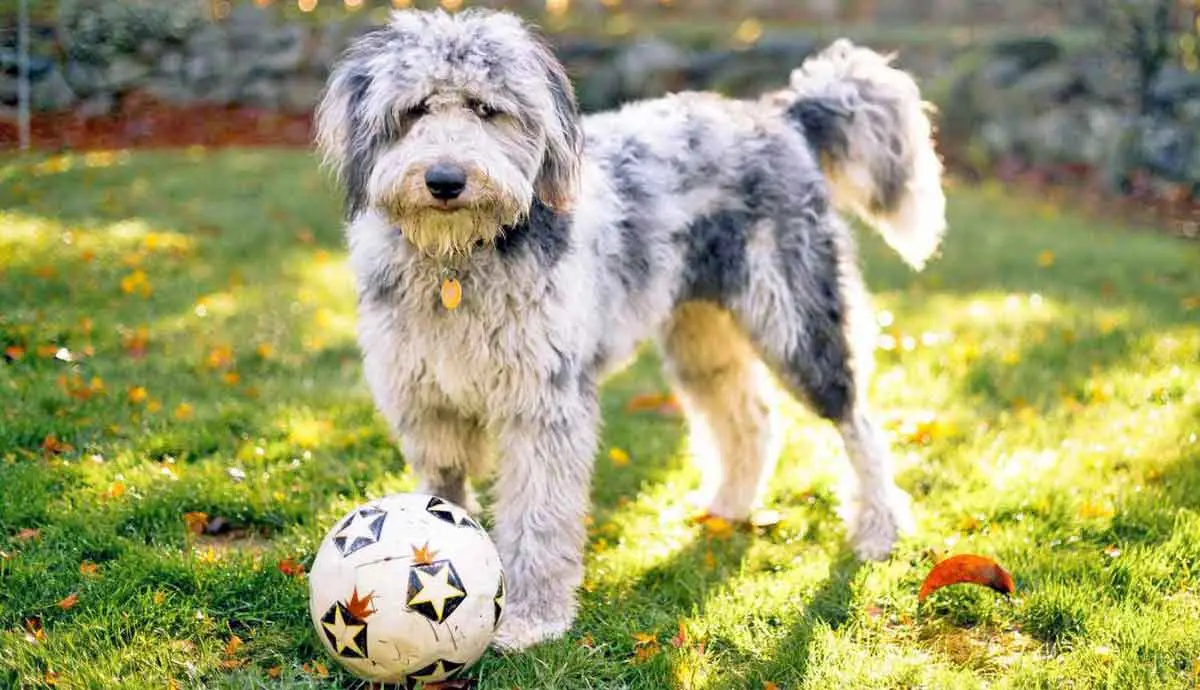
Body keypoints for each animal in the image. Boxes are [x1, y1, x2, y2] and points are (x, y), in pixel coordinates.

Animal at [316, 6, 945, 652]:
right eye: (415, 110)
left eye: (486, 109)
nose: (445, 180)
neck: (458, 262)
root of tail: (780, 113)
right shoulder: (427, 406)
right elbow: (443, 499)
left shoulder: (544, 405)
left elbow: (538, 518)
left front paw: (532, 618)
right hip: (700, 336)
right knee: (750, 420)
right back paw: (729, 506)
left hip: (799, 321)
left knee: (858, 423)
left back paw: (879, 529)